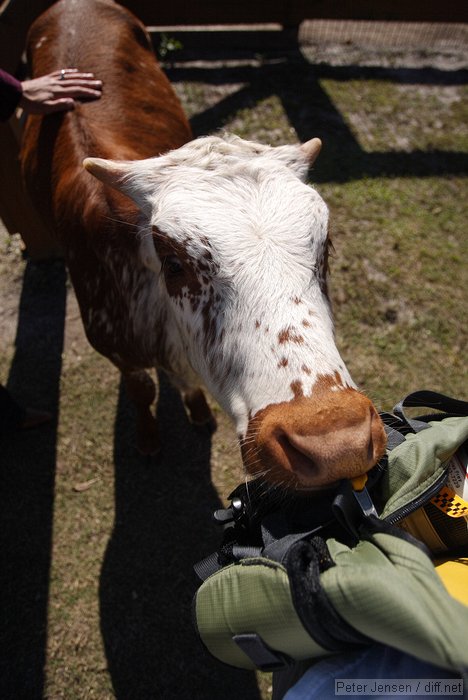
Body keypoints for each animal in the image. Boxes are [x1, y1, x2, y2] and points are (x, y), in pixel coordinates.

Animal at [22, 0, 386, 486]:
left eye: (324, 247)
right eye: (173, 263)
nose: (334, 443)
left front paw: (197, 411)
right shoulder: (116, 346)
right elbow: (143, 388)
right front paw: (149, 439)